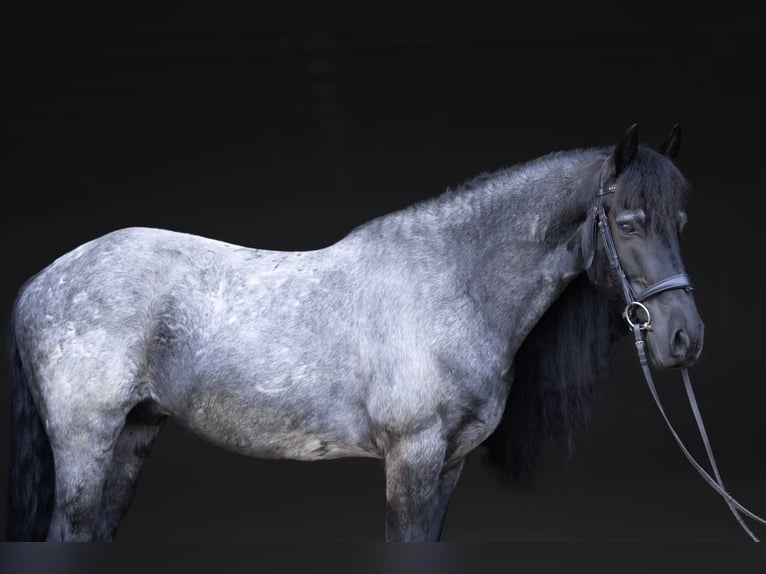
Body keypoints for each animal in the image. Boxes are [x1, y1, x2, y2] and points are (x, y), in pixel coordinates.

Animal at [6, 124, 703, 541]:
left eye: (682, 220)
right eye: (629, 222)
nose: (685, 338)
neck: (452, 279)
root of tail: (42, 280)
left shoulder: (449, 466)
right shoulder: (411, 458)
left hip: (131, 437)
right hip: (85, 445)